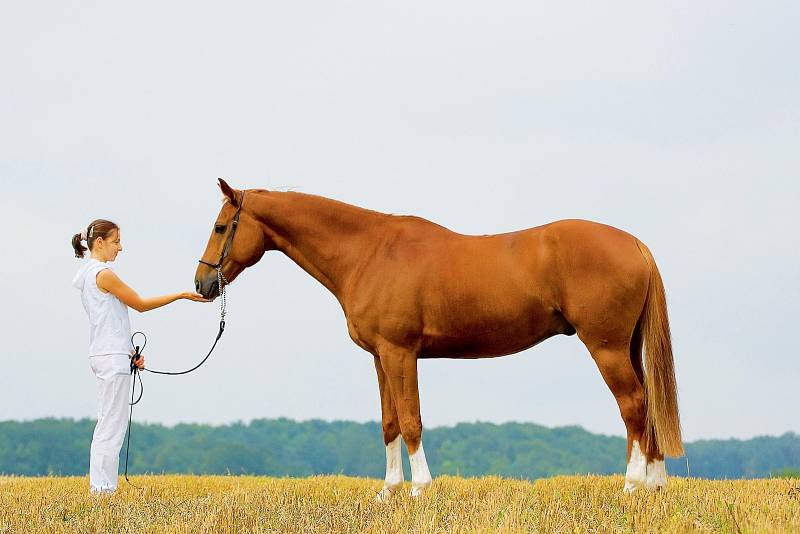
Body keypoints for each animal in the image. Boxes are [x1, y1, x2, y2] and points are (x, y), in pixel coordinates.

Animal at [194, 180, 680, 502]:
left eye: (220, 227)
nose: (202, 283)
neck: (369, 252)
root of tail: (634, 244)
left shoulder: (400, 352)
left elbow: (412, 420)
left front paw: (419, 491)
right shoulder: (380, 357)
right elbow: (389, 422)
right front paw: (388, 493)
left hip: (606, 348)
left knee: (633, 405)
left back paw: (632, 485)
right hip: (627, 348)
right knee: (649, 405)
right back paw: (656, 485)